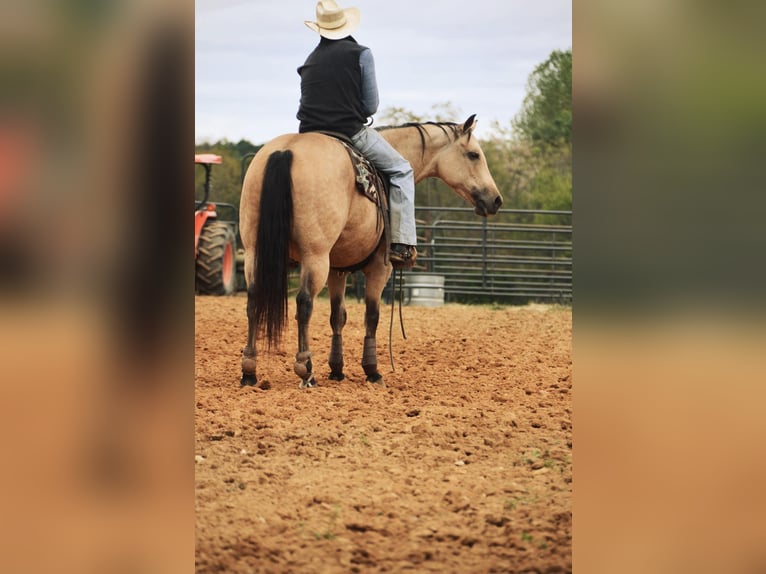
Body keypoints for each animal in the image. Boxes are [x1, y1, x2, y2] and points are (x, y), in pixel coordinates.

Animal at [240, 115, 504, 390]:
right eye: (474, 154)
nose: (496, 200)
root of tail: (287, 150)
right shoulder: (379, 267)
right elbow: (372, 315)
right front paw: (373, 371)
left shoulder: (337, 270)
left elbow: (338, 316)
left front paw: (337, 369)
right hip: (315, 257)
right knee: (304, 303)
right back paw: (306, 370)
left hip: (254, 253)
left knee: (253, 299)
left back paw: (249, 371)